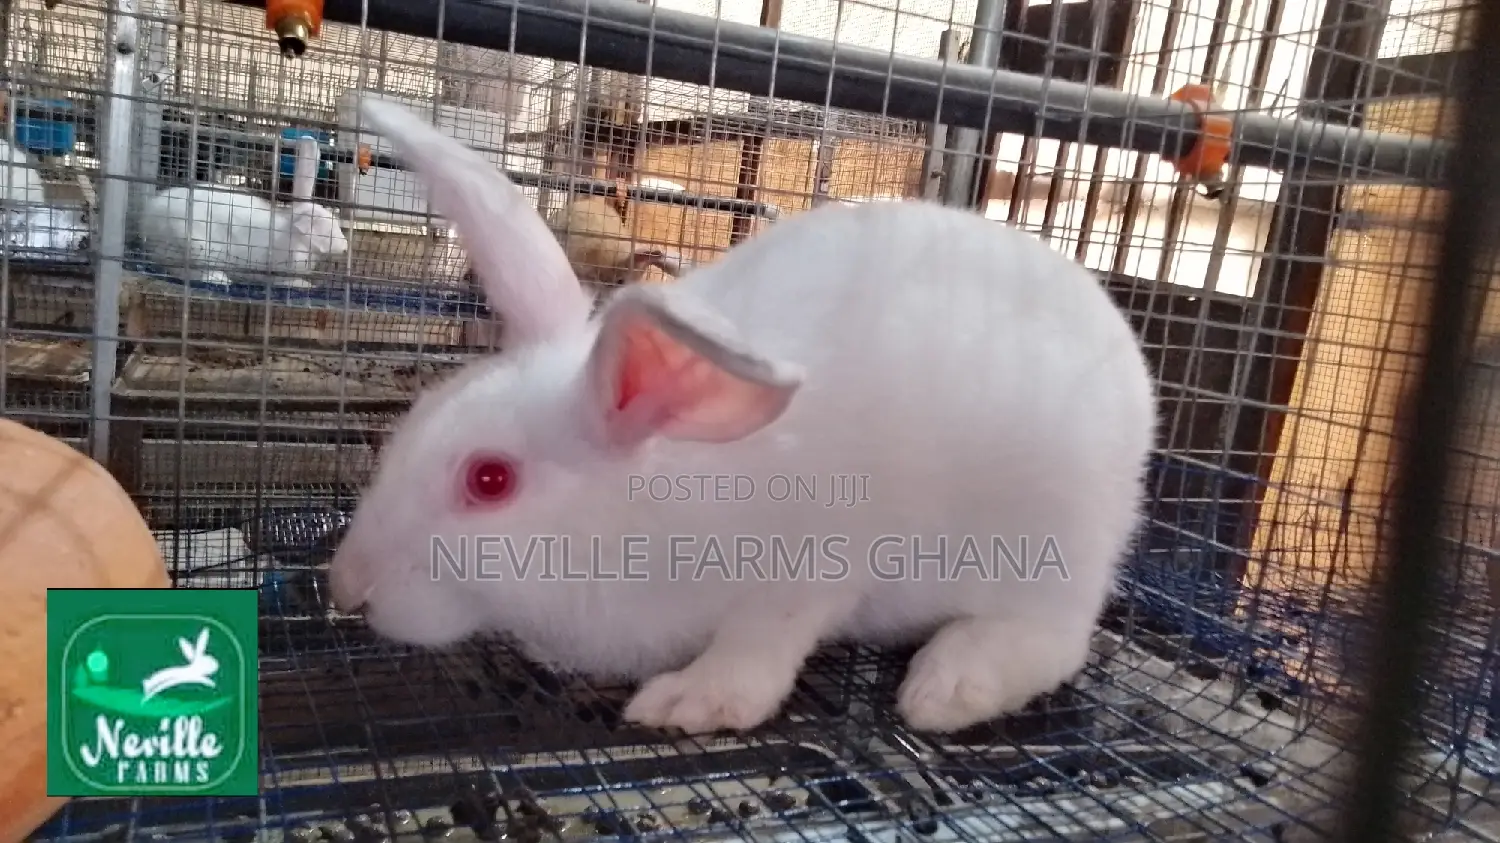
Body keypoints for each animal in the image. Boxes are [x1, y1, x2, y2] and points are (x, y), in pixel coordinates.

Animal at [139, 137, 347, 287]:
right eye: (328, 227)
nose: (345, 247)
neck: (293, 234)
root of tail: (148, 220)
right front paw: (305, 285)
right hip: (193, 245)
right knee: (186, 271)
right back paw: (219, 279)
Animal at [328, 99, 1158, 736]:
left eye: (490, 479)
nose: (345, 587)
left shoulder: (815, 567)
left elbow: (758, 650)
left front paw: (690, 701)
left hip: (1053, 542)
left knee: (1054, 637)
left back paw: (946, 686)